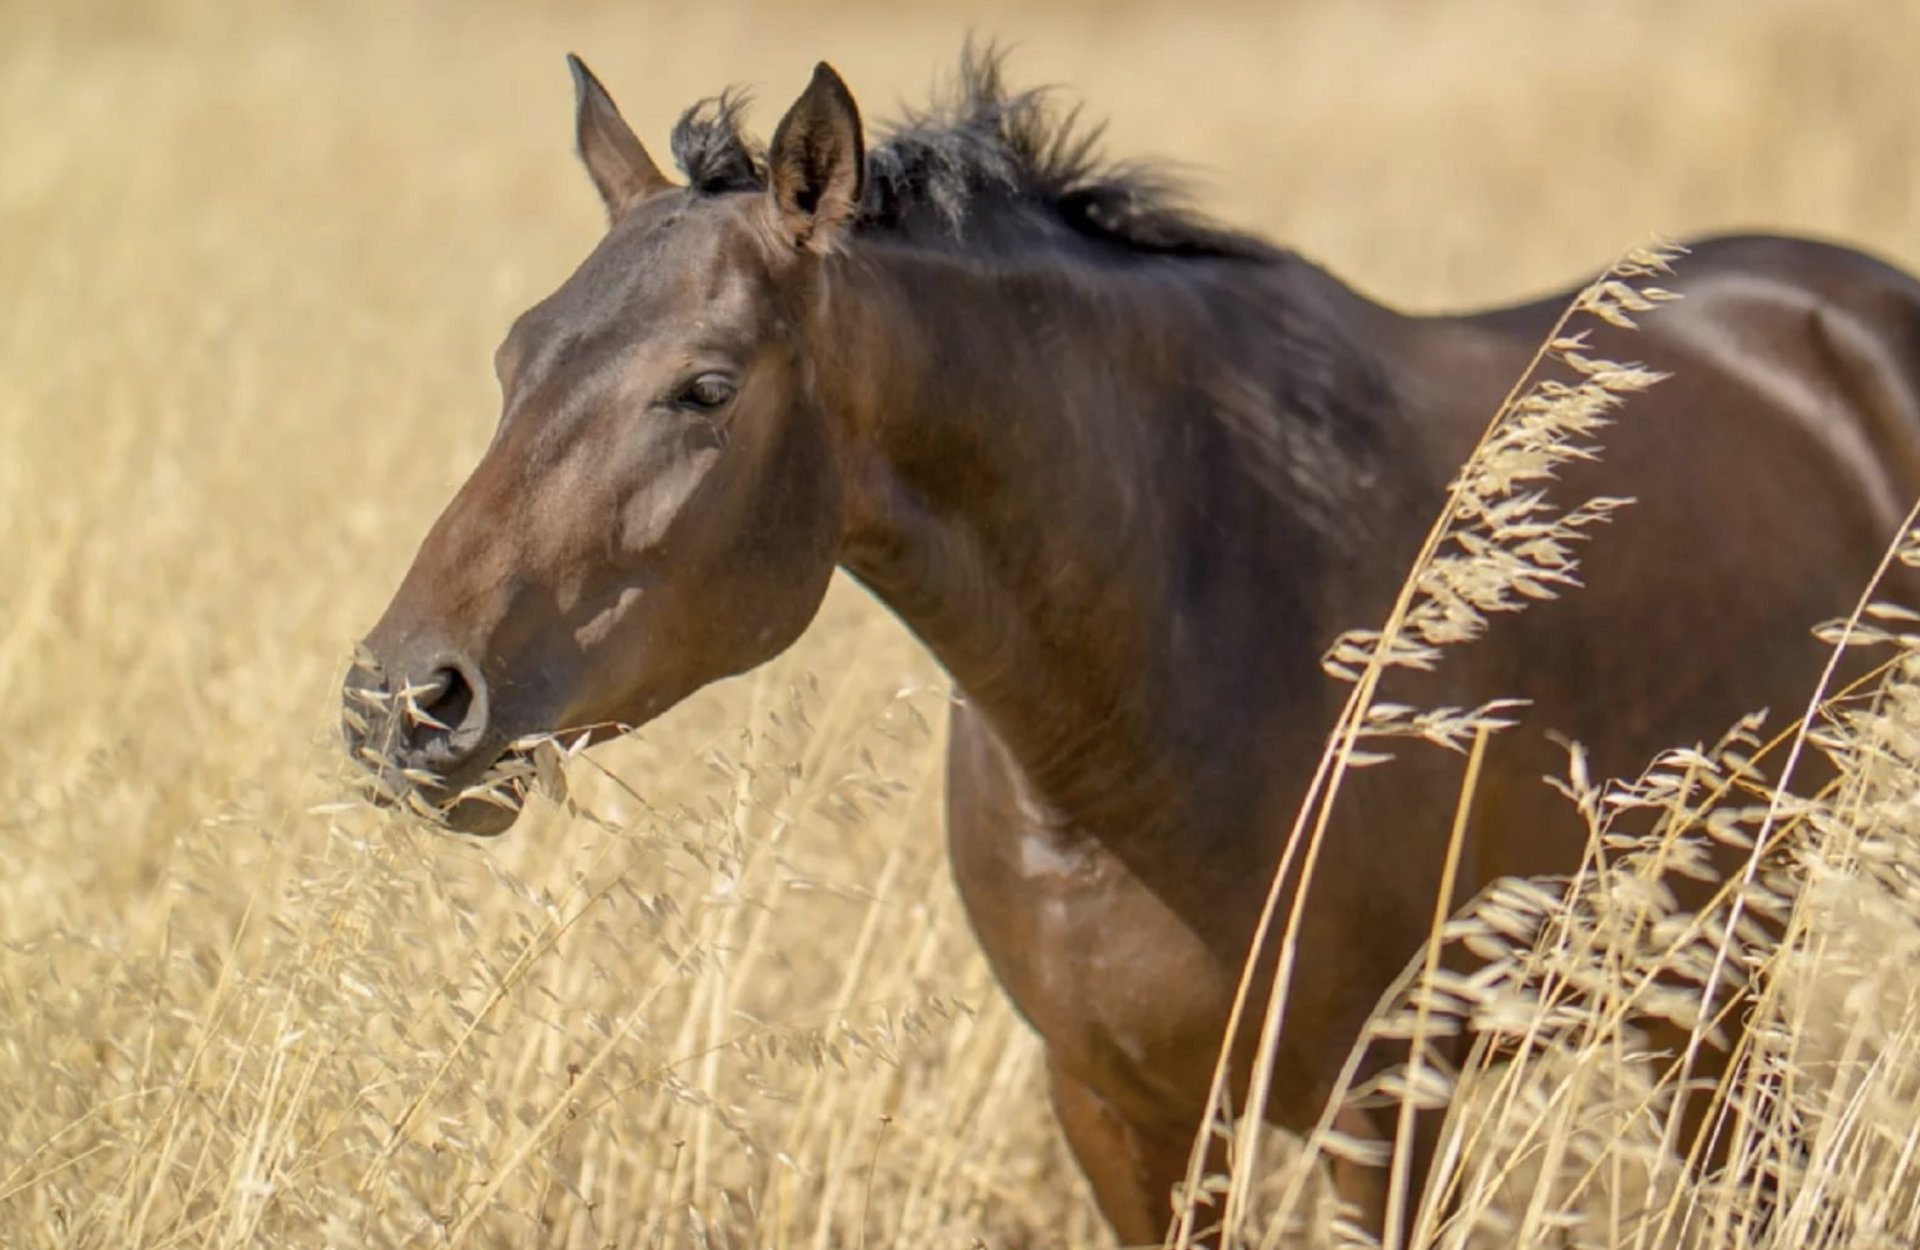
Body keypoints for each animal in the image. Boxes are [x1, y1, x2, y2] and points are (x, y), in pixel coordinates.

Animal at [341, 51, 1920, 1250]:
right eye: (512, 357)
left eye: (704, 387)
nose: (406, 700)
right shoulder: (1120, 1108)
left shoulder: (1384, 1105)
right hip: (1698, 980)